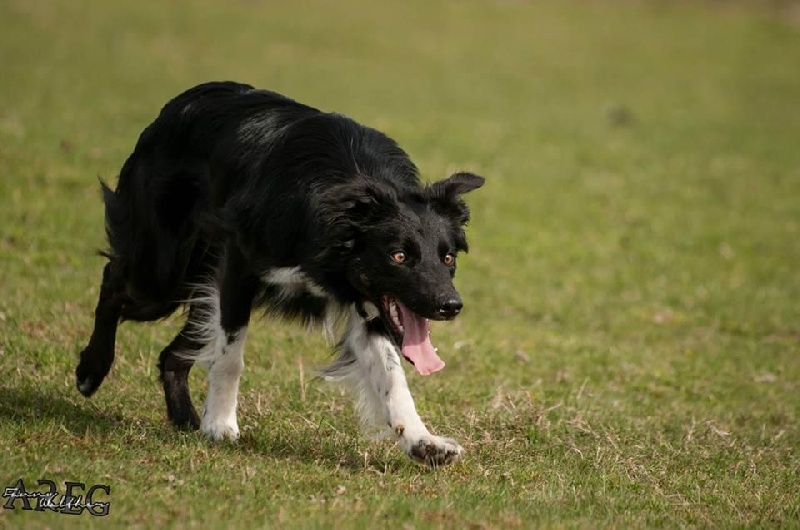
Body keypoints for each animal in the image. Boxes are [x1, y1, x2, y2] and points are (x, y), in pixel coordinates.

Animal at [76, 80, 482, 464]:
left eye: (448, 258)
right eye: (398, 256)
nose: (451, 306)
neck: (342, 203)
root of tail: (176, 105)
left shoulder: (366, 301)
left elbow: (392, 376)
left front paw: (423, 442)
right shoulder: (239, 265)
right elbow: (231, 357)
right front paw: (220, 424)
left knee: (172, 354)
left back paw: (184, 420)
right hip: (162, 271)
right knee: (114, 280)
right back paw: (91, 371)